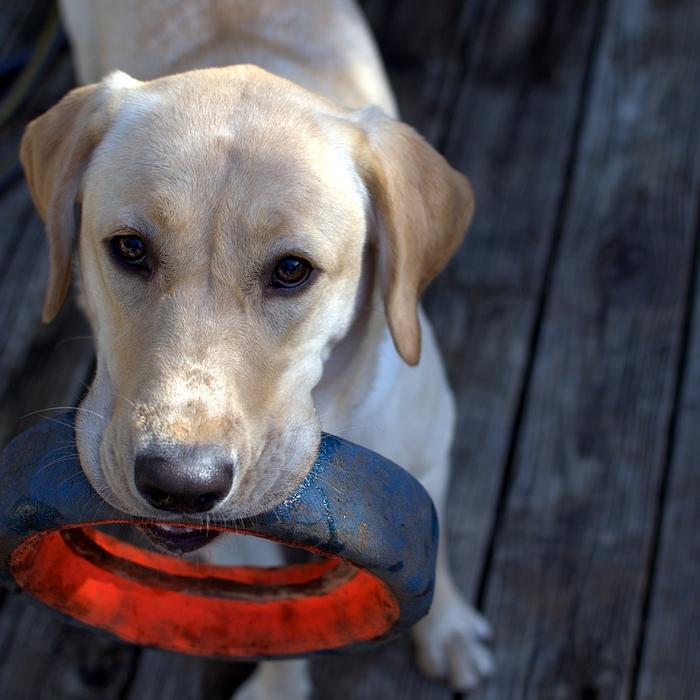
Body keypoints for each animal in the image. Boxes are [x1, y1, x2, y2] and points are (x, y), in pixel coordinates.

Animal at [20, 0, 492, 696]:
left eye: (292, 270)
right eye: (130, 248)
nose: (180, 484)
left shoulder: (430, 459)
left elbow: (443, 557)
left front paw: (450, 630)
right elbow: (276, 618)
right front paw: (279, 687)